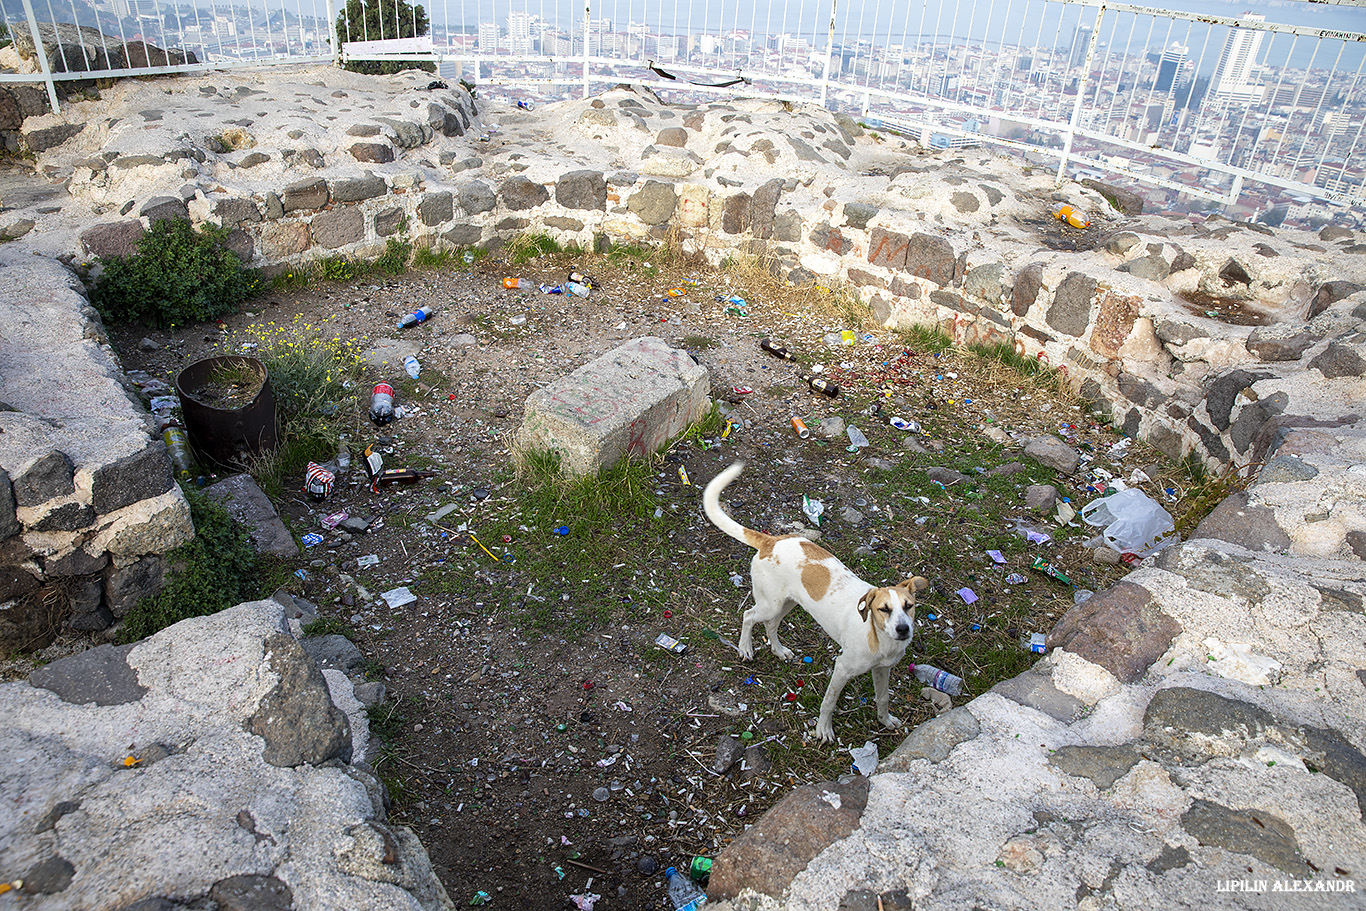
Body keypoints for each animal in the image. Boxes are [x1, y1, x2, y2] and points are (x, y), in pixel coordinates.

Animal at [704, 464, 928, 743]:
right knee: (748, 615)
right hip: (771, 604)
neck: (878, 636)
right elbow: (829, 703)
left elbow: (883, 697)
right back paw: (745, 648)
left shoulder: (882, 670)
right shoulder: (842, 668)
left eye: (909, 606)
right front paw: (824, 729)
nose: (903, 630)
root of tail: (770, 540)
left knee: (770, 626)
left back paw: (779, 650)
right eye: (883, 609)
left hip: (788, 604)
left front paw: (885, 721)